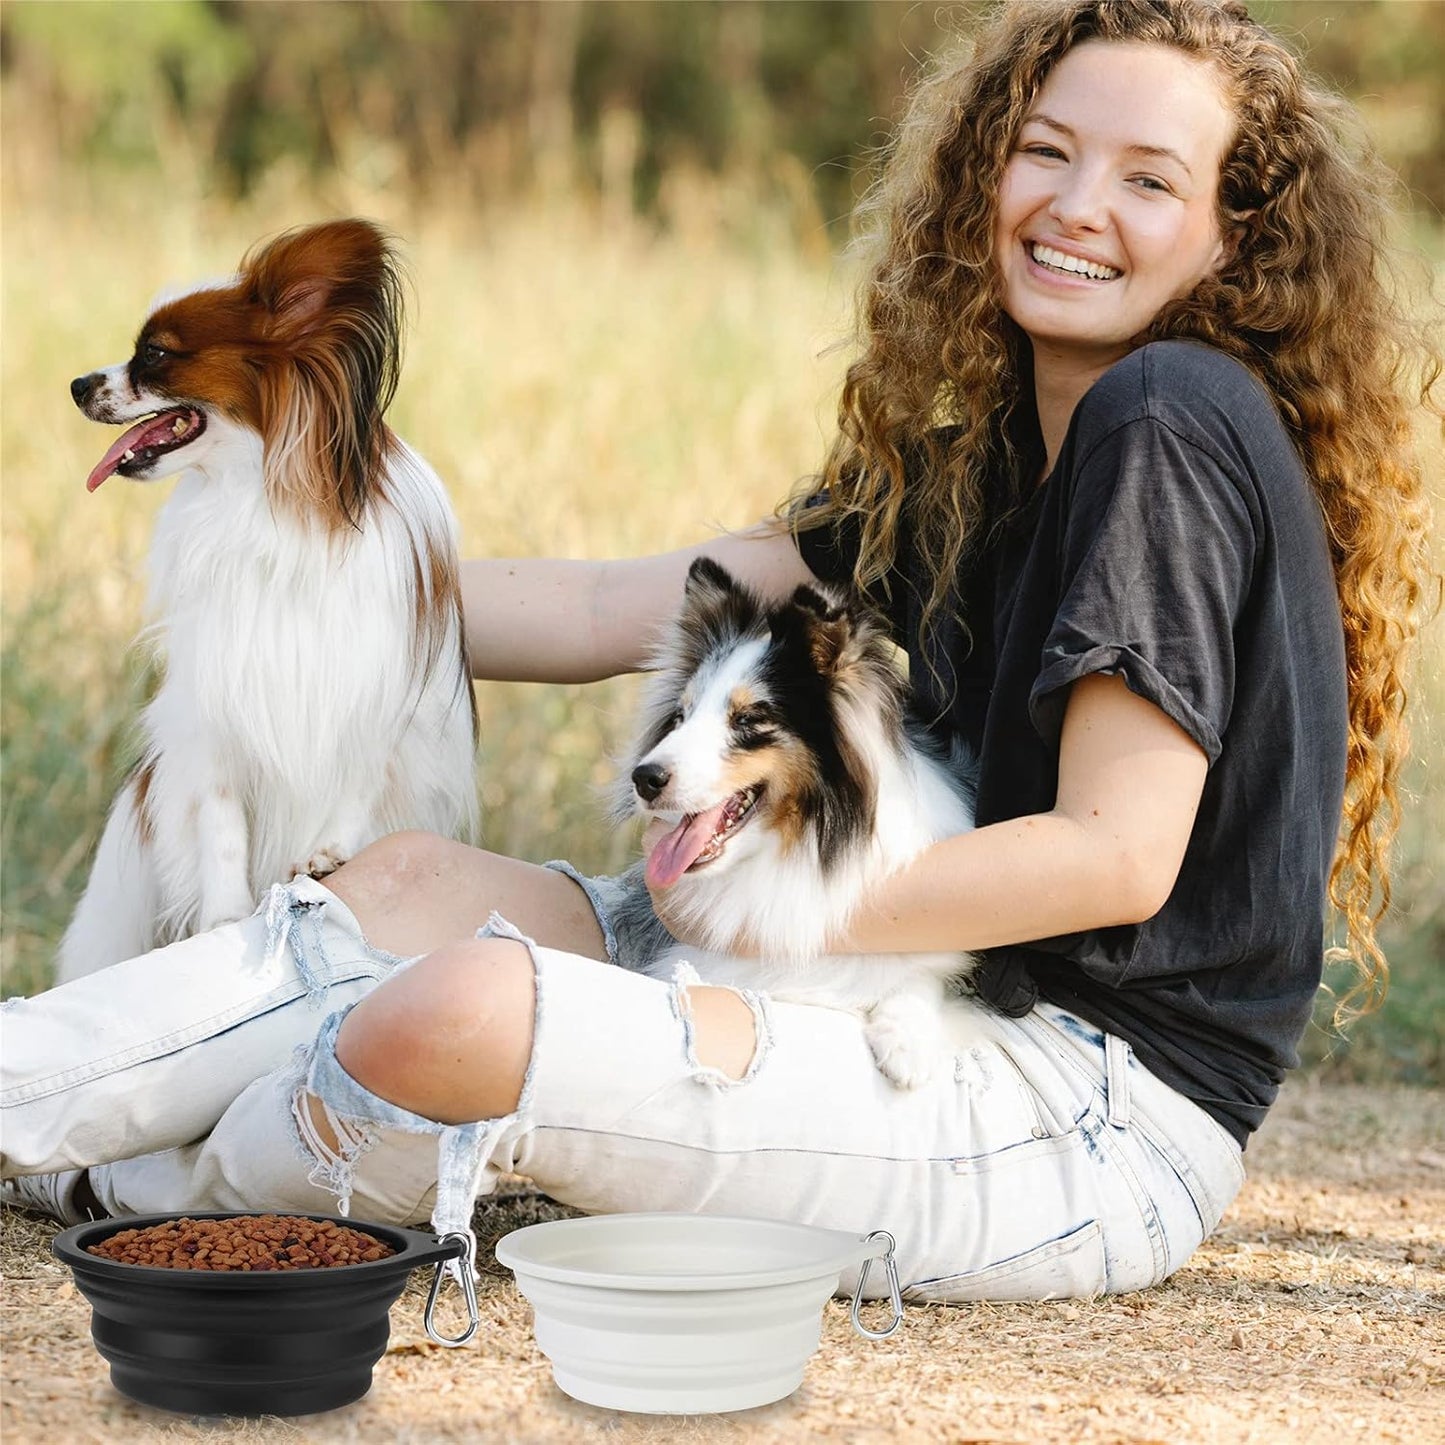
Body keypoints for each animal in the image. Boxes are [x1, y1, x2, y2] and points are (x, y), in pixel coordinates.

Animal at [624, 557, 982, 1086]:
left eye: (748, 719)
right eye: (681, 716)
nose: (644, 778)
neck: (797, 848)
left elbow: (922, 974)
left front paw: (907, 1042)